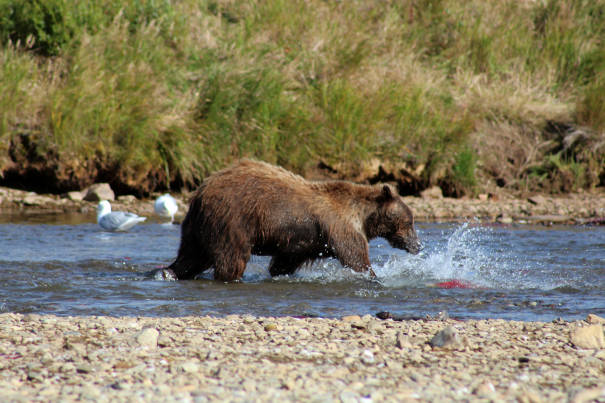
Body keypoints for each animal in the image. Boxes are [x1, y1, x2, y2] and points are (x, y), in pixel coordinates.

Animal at [158, 159, 418, 282]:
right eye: (410, 222)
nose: (418, 245)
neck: (364, 217)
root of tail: (201, 191)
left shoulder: (302, 241)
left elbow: (284, 261)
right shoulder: (342, 228)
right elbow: (356, 258)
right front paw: (373, 274)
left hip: (197, 225)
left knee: (191, 255)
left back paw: (168, 272)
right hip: (232, 220)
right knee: (230, 257)